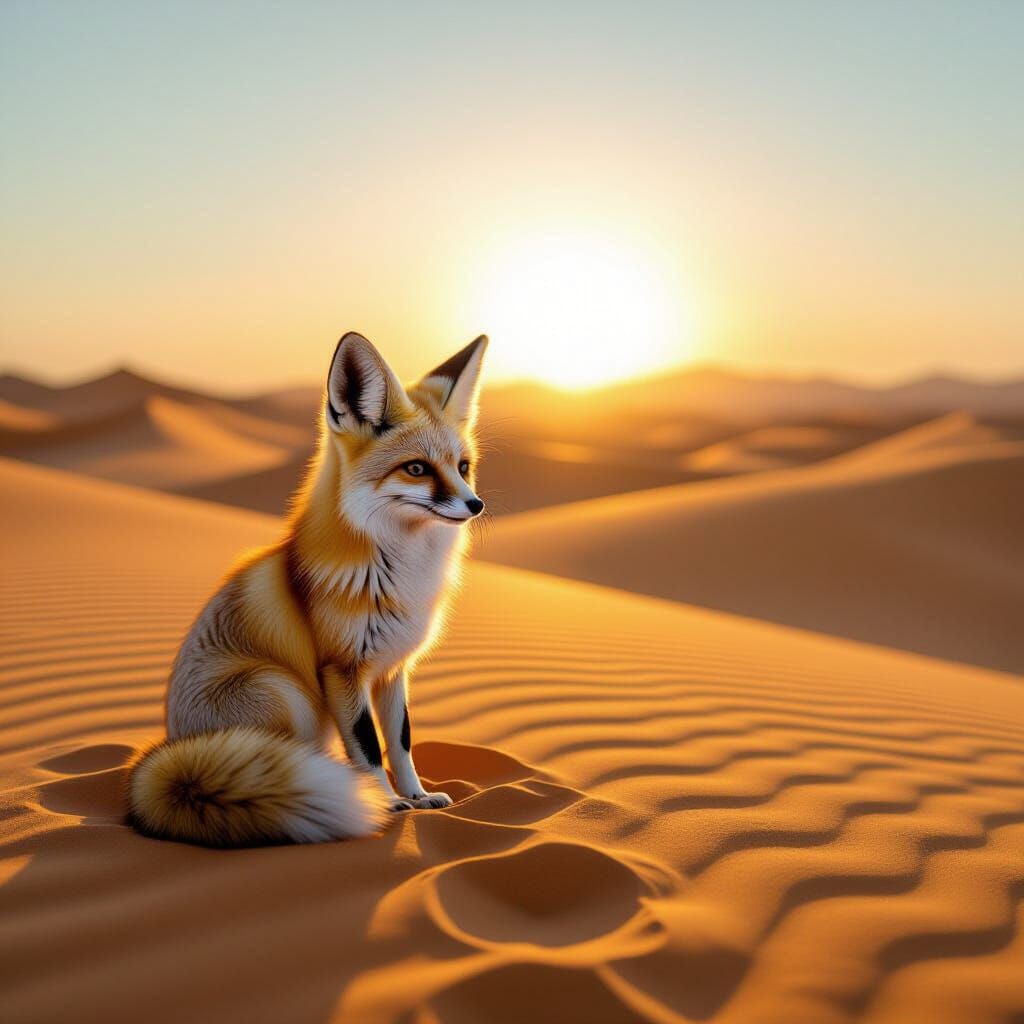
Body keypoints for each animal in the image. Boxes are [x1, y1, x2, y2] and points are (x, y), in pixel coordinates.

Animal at [127, 331, 488, 846]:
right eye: (416, 469)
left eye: (463, 466)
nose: (476, 505)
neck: (398, 574)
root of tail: (170, 752)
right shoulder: (342, 668)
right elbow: (368, 747)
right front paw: (385, 804)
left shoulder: (392, 669)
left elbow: (400, 742)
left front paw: (418, 797)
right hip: (283, 688)